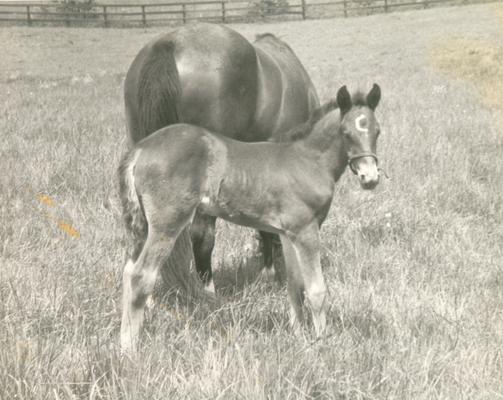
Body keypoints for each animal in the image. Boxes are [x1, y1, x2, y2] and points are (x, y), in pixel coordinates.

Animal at [120, 84, 384, 350]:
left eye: (377, 131)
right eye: (346, 133)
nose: (370, 178)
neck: (308, 160)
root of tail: (140, 150)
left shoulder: (288, 233)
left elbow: (294, 285)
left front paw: (298, 335)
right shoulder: (306, 230)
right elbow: (316, 290)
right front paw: (321, 342)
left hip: (144, 227)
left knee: (128, 272)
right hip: (167, 224)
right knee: (141, 276)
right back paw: (129, 348)